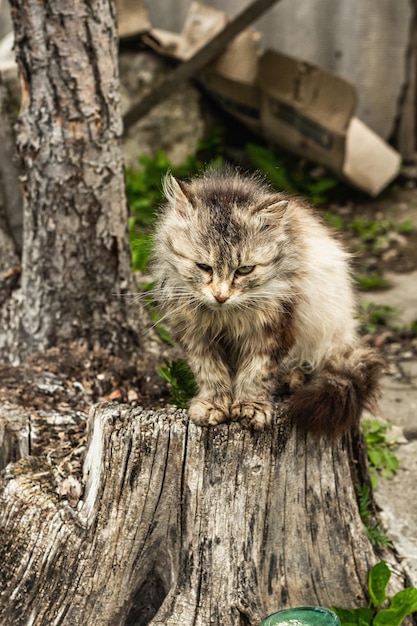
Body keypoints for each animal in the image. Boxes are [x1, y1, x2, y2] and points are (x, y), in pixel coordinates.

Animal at [150, 168, 384, 436]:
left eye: (244, 270)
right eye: (204, 267)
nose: (221, 296)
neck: (225, 317)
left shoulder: (273, 331)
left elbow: (255, 374)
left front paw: (250, 407)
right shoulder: (194, 335)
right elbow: (209, 372)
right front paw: (213, 404)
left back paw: (291, 379)